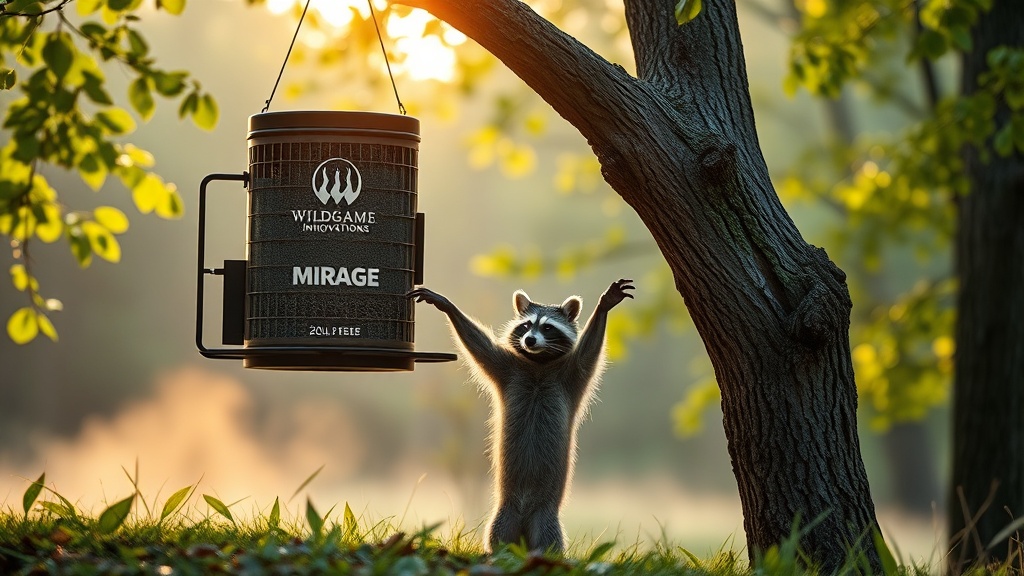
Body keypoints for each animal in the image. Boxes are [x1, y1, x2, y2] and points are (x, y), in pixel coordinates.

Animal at [407, 279, 634, 553]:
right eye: (526, 325)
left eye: (547, 327)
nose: (530, 339)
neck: (538, 362)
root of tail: (525, 530)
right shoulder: (507, 368)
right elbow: (480, 347)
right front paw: (447, 306)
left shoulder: (572, 373)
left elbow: (589, 350)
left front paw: (604, 306)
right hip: (505, 515)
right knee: (497, 536)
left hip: (545, 516)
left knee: (549, 539)